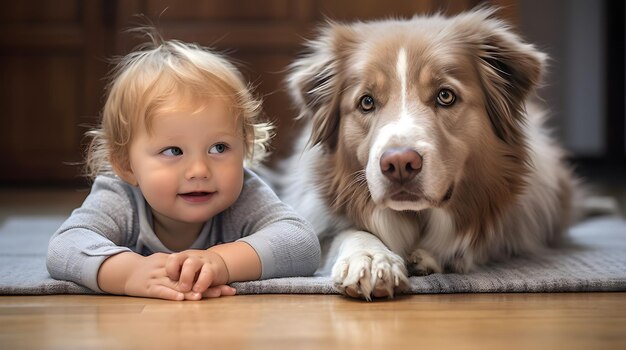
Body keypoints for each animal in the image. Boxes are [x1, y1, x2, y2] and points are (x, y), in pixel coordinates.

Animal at [272, 6, 576, 300]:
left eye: (446, 96)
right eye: (366, 102)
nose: (399, 163)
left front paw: (432, 256)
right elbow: (346, 232)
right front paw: (371, 257)